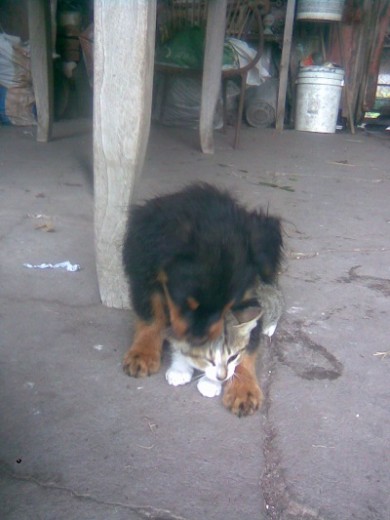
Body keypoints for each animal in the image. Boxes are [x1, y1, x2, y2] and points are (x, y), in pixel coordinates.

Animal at [123, 183, 282, 414]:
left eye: (226, 308)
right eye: (186, 303)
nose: (197, 345)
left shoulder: (248, 297)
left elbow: (247, 344)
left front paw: (243, 389)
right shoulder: (146, 273)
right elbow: (151, 315)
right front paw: (143, 353)